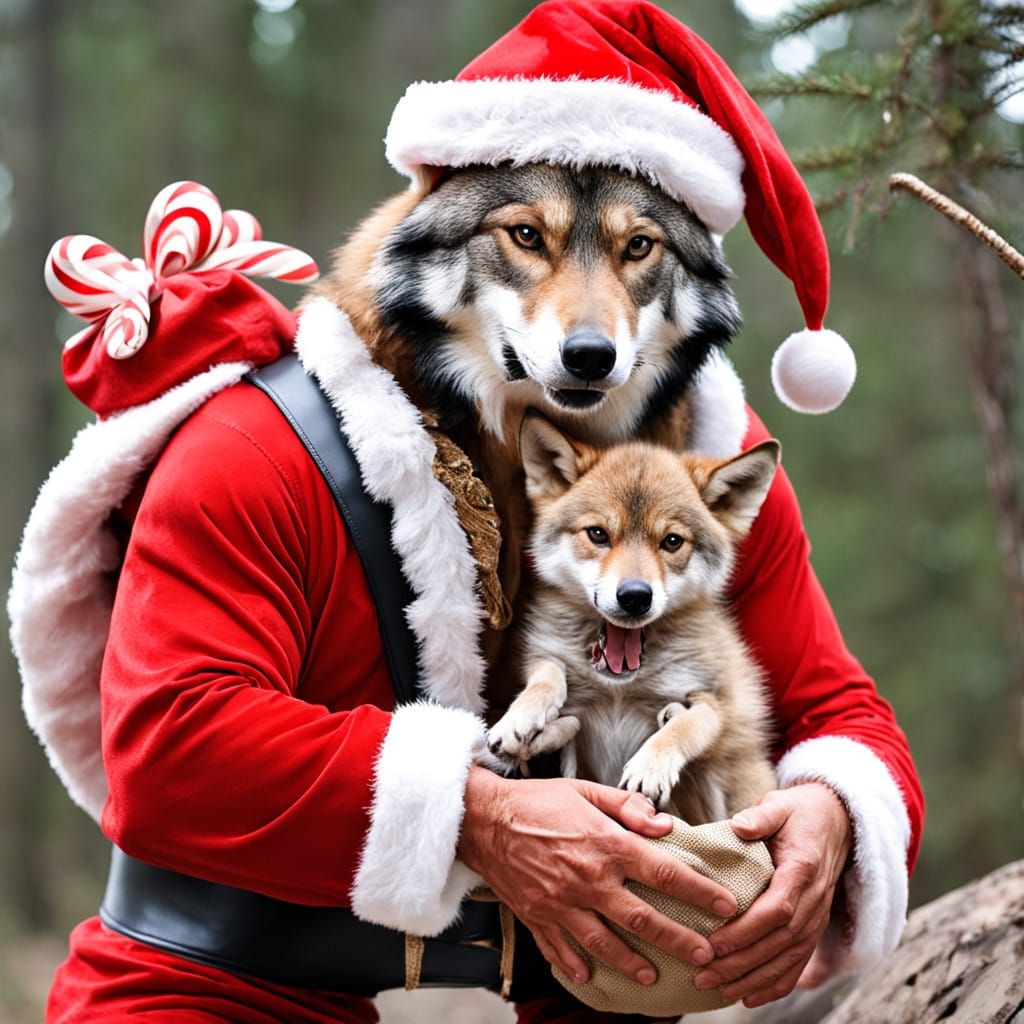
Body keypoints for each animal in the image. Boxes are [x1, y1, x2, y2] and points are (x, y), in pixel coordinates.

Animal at [487, 412, 779, 823]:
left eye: (672, 541)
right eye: (598, 534)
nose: (635, 597)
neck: (619, 688)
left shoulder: (713, 703)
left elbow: (684, 727)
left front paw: (650, 766)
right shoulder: (551, 665)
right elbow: (548, 677)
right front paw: (522, 719)